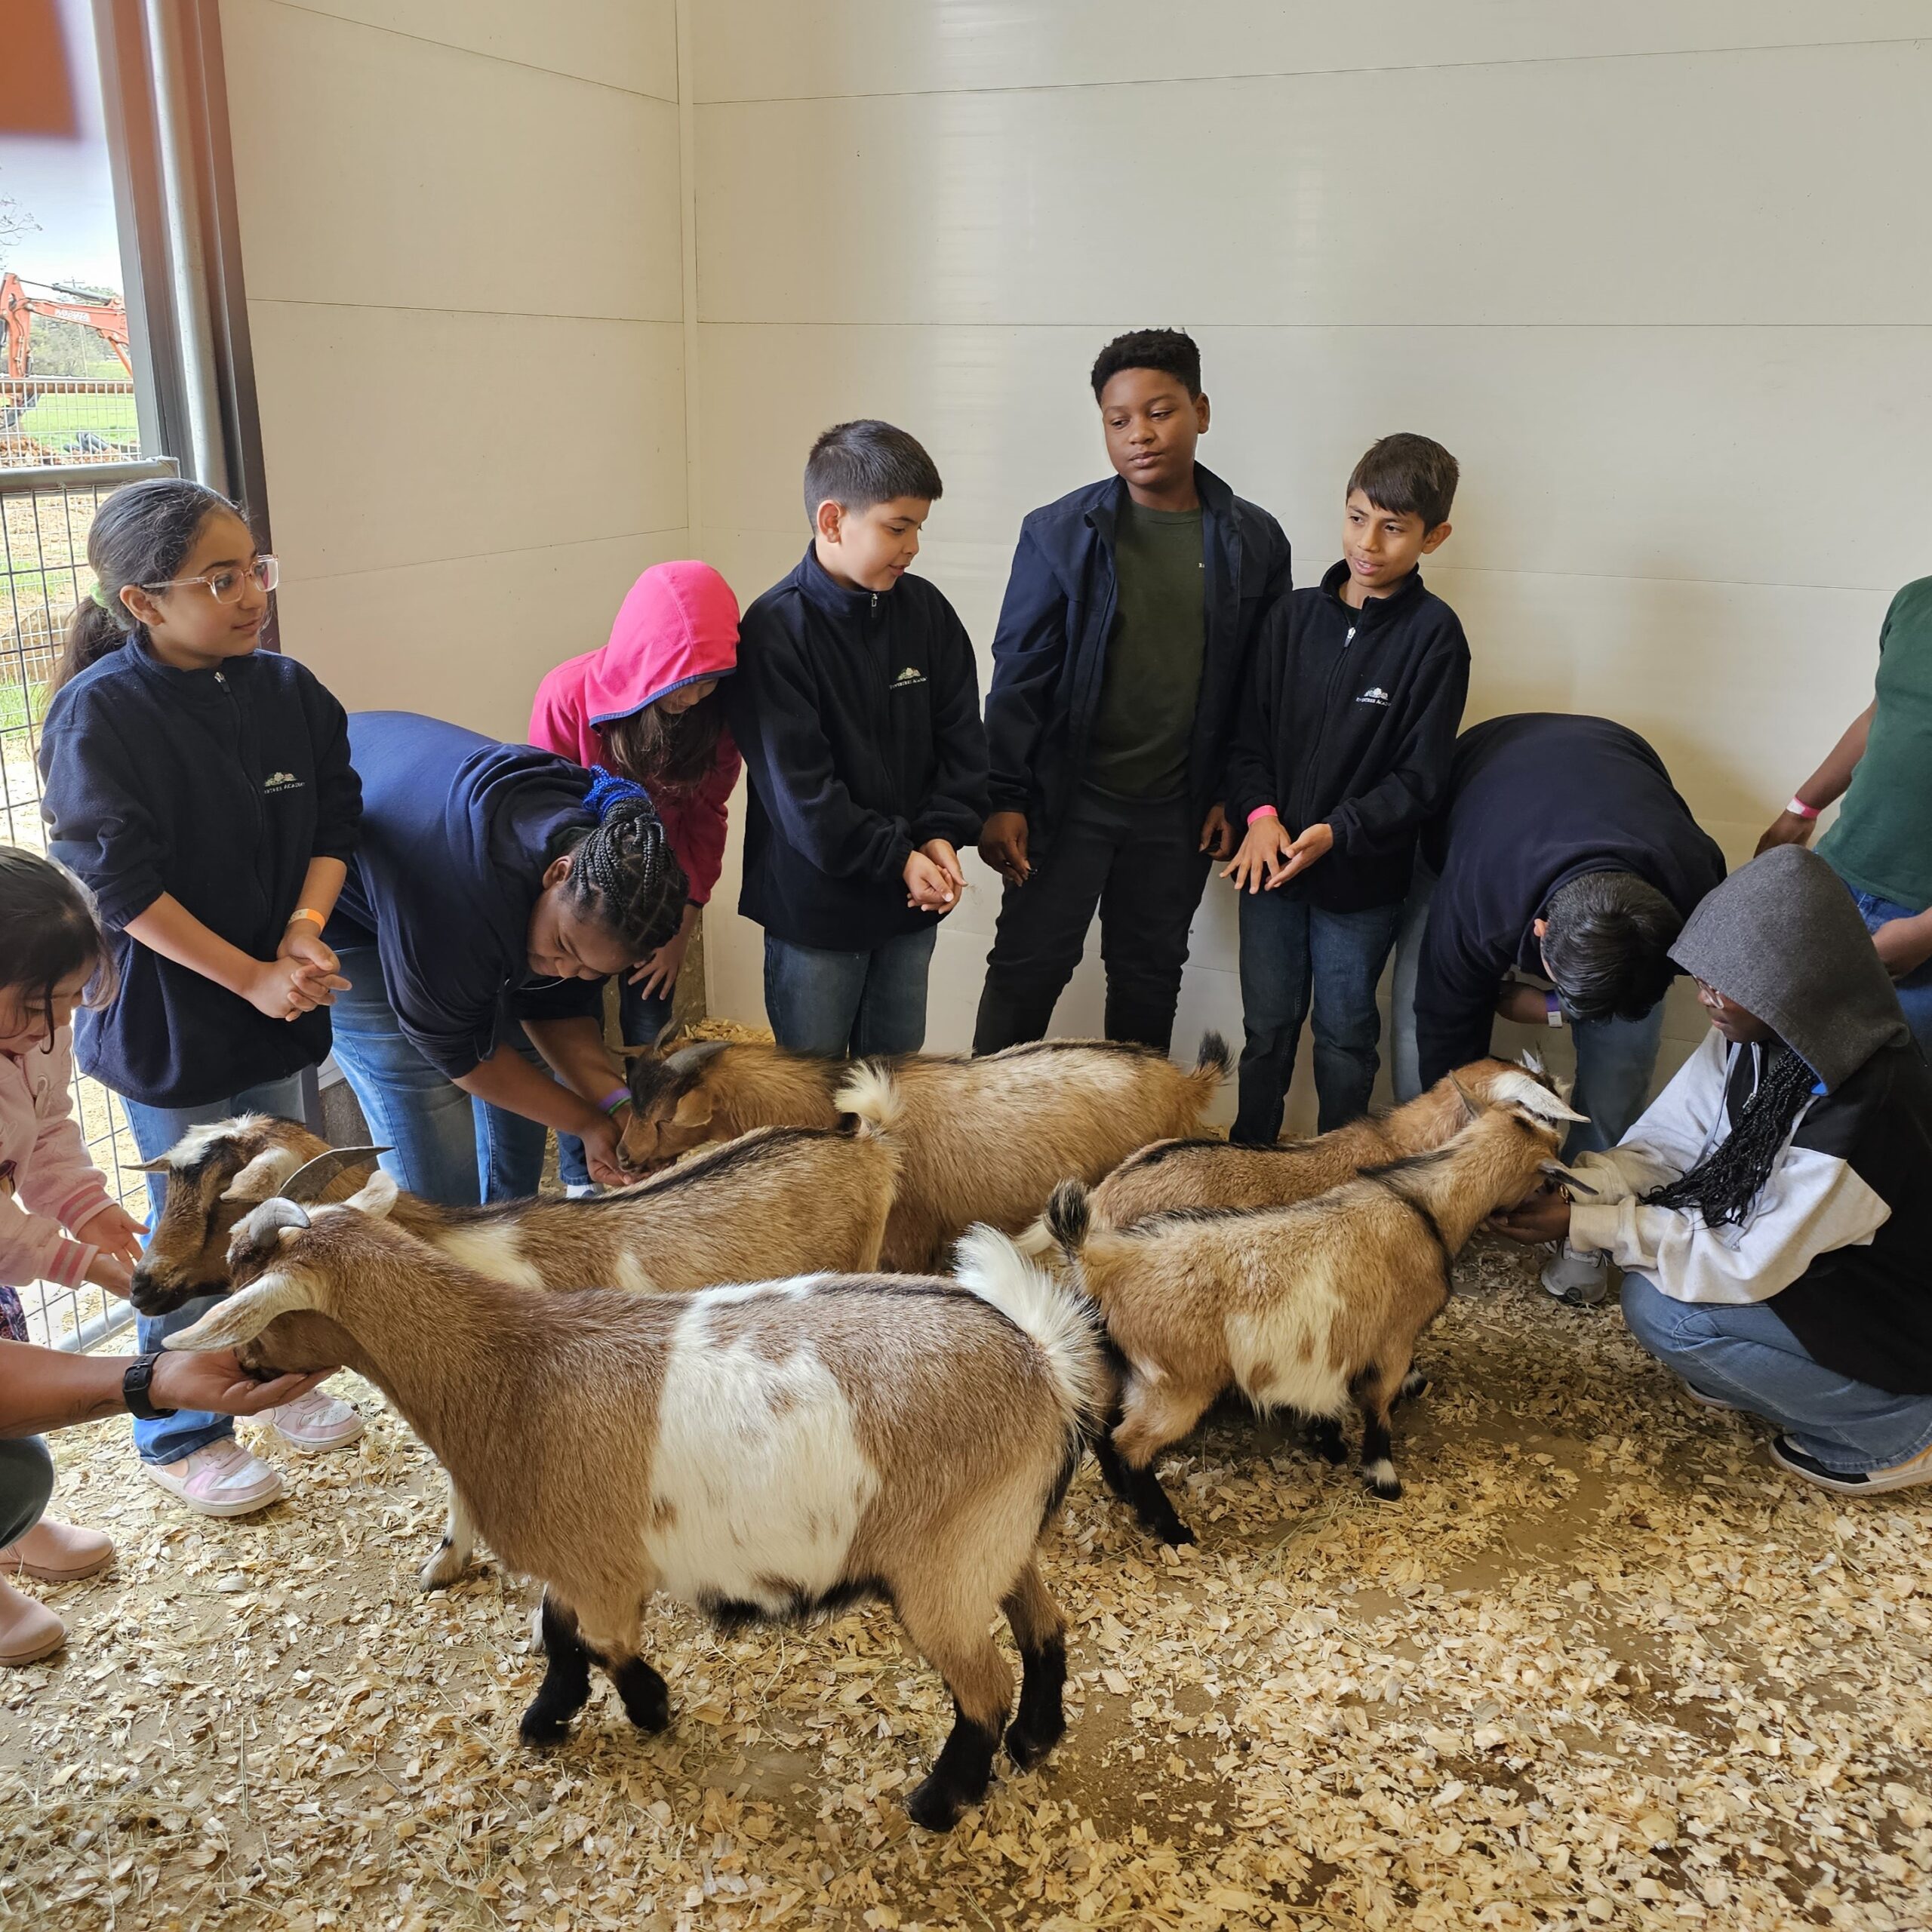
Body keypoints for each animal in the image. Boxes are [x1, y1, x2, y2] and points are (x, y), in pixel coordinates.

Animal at [174, 1182, 1112, 1831]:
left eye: (247, 1288)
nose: (242, 1365)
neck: (507, 1371)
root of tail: (1040, 1361)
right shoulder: (580, 1558)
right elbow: (560, 1633)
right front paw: (549, 1716)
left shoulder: (602, 1567)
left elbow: (602, 1641)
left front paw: (649, 1709)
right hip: (996, 1539)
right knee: (1045, 1627)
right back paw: (1036, 1740)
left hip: (941, 1569)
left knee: (982, 1685)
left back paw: (939, 1801)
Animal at [1058, 1081, 1584, 1546]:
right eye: (1547, 1177)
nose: (1560, 1204)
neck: (1424, 1207)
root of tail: (1102, 1256)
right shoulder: (1394, 1340)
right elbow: (1379, 1406)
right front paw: (1381, 1475)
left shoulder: (1341, 1336)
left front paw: (1328, 1439)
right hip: (1176, 1384)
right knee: (1130, 1443)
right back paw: (1172, 1529)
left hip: (1114, 1364)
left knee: (1101, 1428)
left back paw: (1124, 1494)